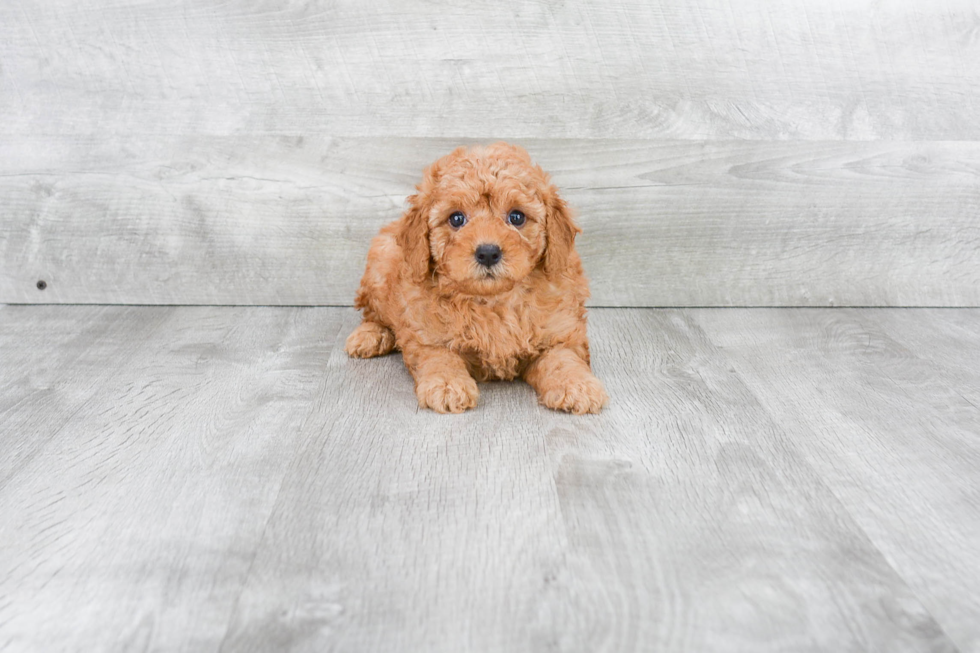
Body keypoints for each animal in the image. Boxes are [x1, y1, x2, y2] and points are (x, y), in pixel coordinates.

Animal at [342, 143, 604, 412]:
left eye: (517, 217)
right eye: (457, 218)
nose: (488, 253)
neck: (493, 301)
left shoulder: (561, 333)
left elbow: (563, 358)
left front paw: (577, 385)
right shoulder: (427, 336)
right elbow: (441, 357)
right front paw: (447, 386)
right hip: (380, 264)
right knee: (373, 313)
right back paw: (371, 336)